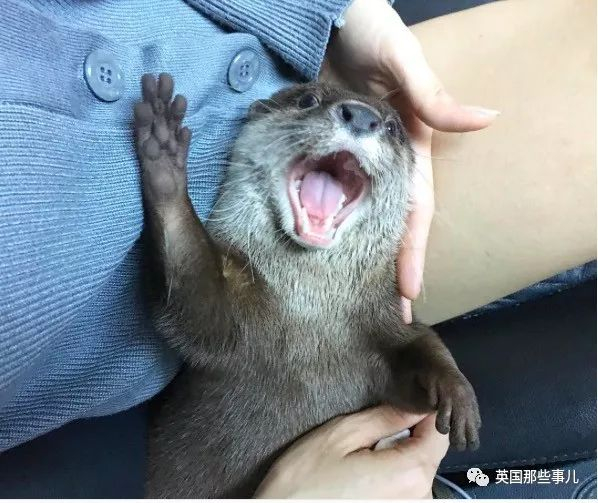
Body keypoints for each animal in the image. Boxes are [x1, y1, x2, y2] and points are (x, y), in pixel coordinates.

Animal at [134, 73, 480, 498]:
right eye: (307, 100)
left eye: (394, 129)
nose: (361, 116)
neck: (310, 312)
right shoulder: (226, 318)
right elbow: (190, 301)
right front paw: (164, 159)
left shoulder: (383, 326)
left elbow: (421, 347)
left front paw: (457, 391)